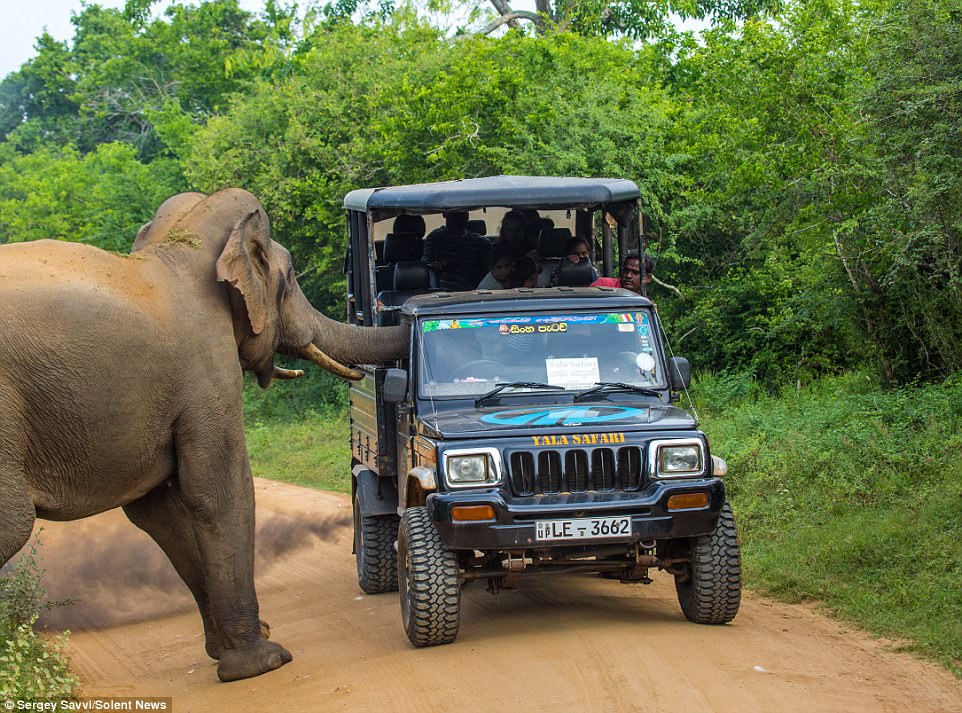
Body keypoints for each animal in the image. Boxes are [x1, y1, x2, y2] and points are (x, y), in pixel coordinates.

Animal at [0, 188, 406, 680]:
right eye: (290, 277)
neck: (178, 246)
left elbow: (158, 513)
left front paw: (235, 649)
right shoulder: (205, 373)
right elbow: (219, 492)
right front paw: (264, 662)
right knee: (13, 523)